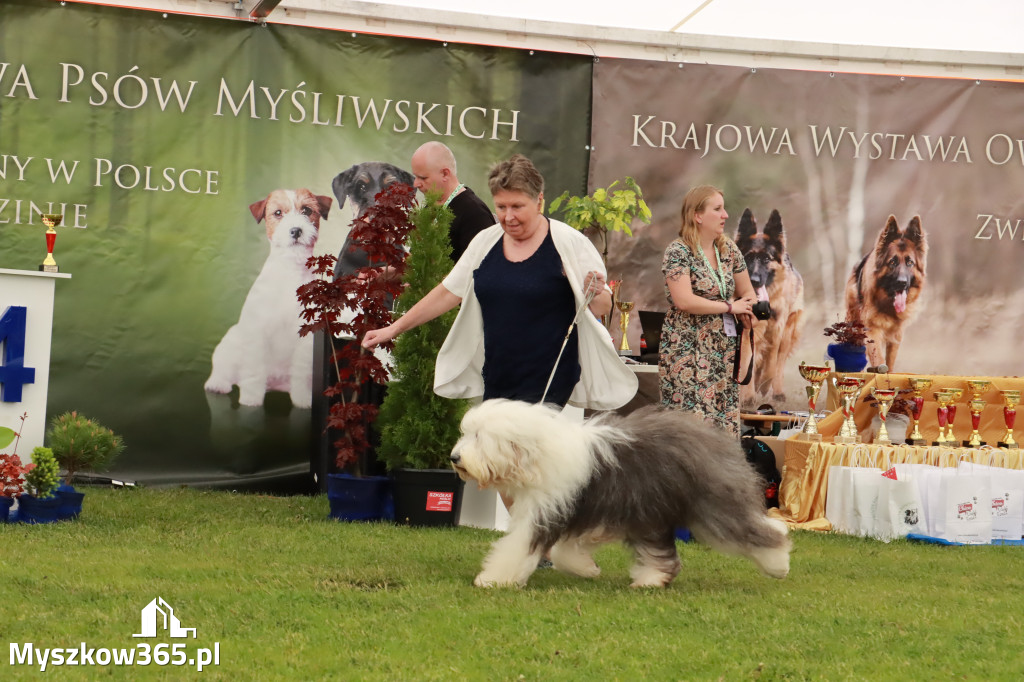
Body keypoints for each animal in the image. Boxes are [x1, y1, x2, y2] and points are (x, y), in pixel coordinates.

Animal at [448, 399, 790, 585]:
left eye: (479, 436)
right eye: (467, 433)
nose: (454, 458)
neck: (536, 455)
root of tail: (714, 436)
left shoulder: (548, 510)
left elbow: (517, 547)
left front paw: (492, 579)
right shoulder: (589, 511)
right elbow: (565, 549)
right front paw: (587, 568)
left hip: (711, 502)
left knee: (761, 528)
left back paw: (779, 562)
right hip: (651, 511)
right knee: (659, 551)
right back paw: (650, 580)